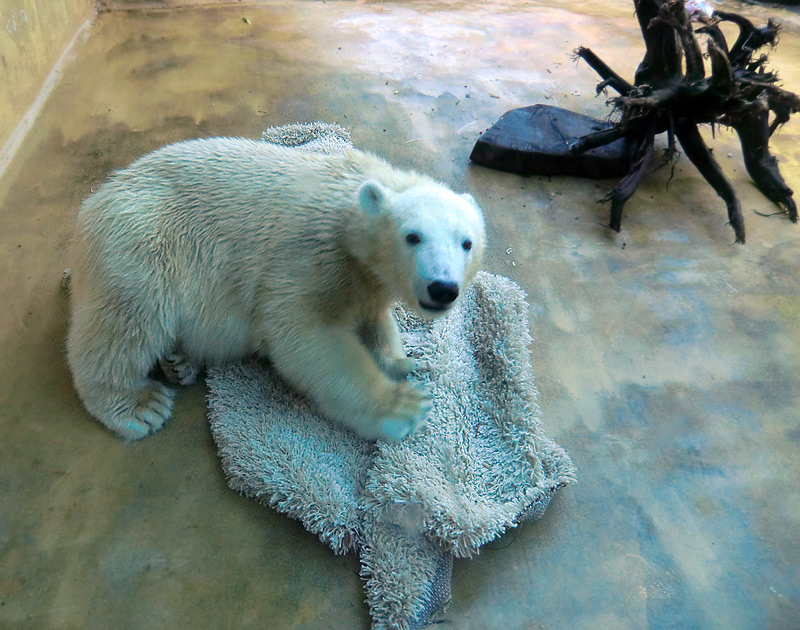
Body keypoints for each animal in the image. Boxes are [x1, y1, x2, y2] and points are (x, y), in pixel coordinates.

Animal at [64, 138, 488, 444]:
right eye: (413, 236)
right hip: (142, 243)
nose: (443, 288)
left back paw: (179, 363)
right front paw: (403, 407)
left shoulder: (364, 279)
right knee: (126, 322)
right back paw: (139, 404)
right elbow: (306, 337)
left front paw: (402, 360)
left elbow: (375, 318)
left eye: (467, 243)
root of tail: (95, 199)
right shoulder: (310, 258)